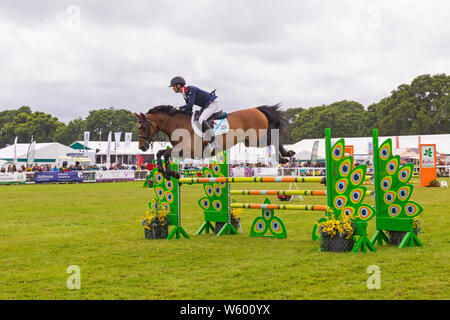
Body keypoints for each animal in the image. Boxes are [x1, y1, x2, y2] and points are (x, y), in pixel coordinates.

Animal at [134, 105, 296, 180]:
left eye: (143, 127)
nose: (142, 147)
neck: (177, 123)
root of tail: (257, 109)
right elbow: (160, 153)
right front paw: (168, 173)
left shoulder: (188, 150)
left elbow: (164, 153)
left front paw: (169, 172)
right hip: (250, 141)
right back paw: (286, 155)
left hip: (257, 137)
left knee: (273, 138)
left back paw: (286, 155)